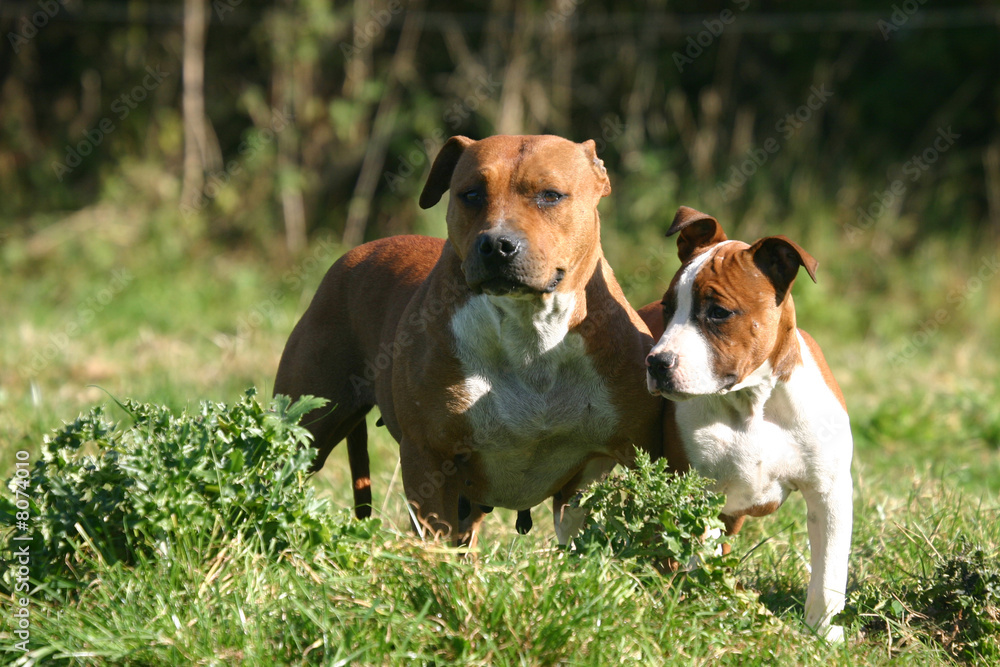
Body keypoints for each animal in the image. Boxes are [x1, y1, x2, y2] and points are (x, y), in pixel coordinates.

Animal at [276, 134, 664, 544]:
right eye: (472, 194)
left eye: (551, 195)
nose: (497, 244)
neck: (531, 332)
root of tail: (354, 253)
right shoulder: (428, 457)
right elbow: (435, 541)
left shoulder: (628, 456)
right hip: (309, 425)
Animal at [640, 207, 852, 640]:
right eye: (668, 308)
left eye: (718, 312)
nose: (657, 362)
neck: (753, 400)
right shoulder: (697, 493)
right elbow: (697, 556)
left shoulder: (831, 492)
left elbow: (828, 573)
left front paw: (823, 634)